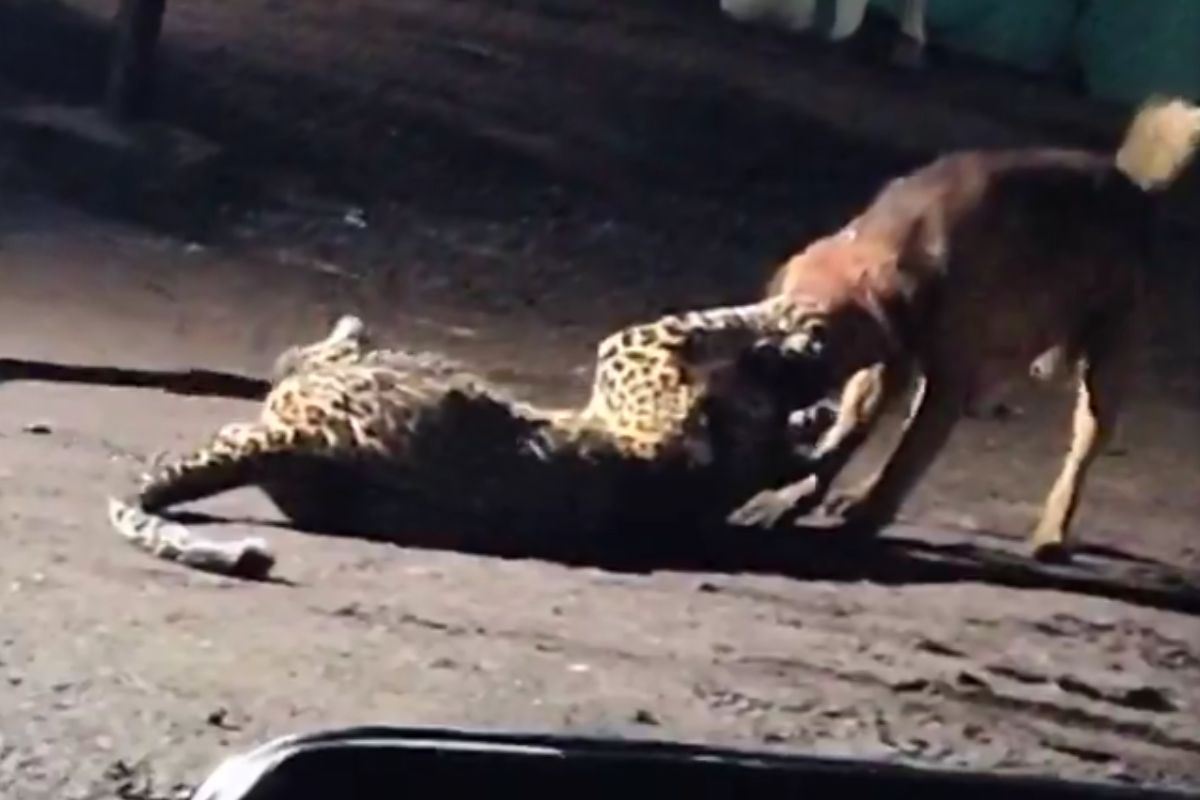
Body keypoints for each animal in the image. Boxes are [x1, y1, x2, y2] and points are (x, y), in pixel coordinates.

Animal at [107, 296, 831, 580]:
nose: (812, 391)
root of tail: (301, 441)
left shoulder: (644, 347)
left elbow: (725, 319)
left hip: (373, 374)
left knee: (299, 361)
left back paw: (347, 328)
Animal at [731, 96, 1200, 563]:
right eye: (771, 326)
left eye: (817, 337)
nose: (765, 379)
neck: (906, 240)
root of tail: (1135, 189)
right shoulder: (889, 367)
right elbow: (852, 435)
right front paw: (793, 496)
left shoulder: (943, 383)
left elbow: (904, 458)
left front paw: (863, 517)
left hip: (1104, 372)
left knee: (1080, 456)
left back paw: (1052, 532)